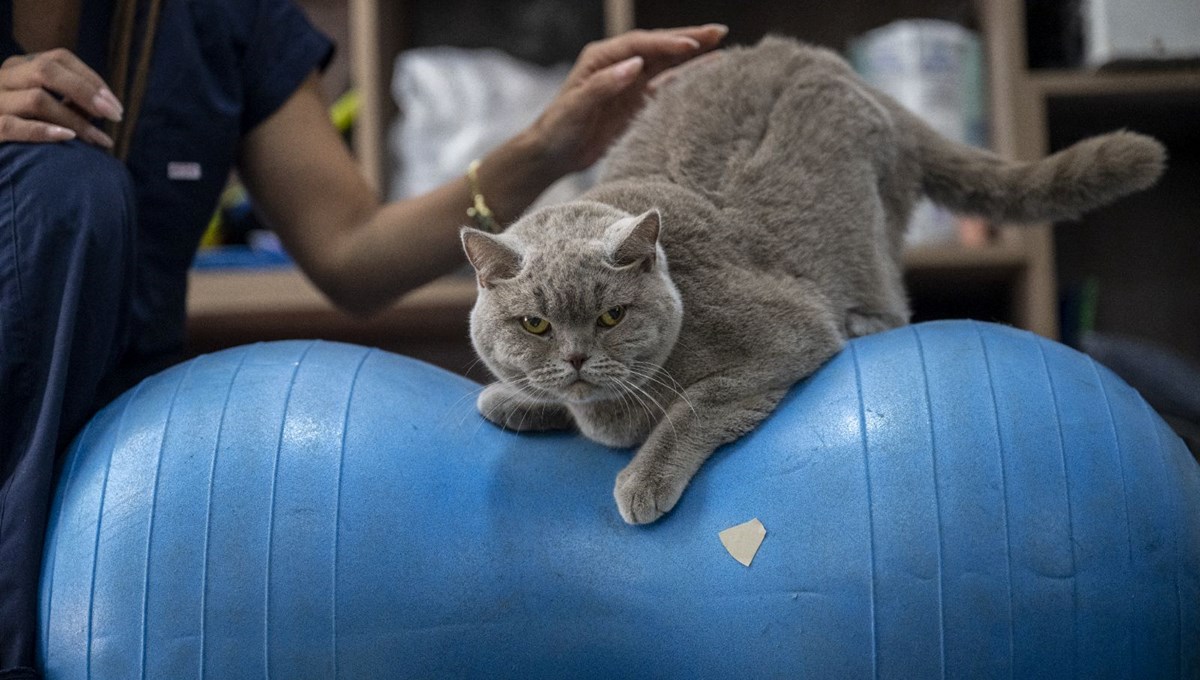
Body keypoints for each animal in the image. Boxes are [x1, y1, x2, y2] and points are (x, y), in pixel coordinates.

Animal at [458, 35, 1161, 527]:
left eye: (611, 317)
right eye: (535, 324)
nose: (578, 359)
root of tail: (838, 65)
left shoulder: (786, 335)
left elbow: (696, 404)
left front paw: (643, 481)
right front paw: (513, 401)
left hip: (872, 231)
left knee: (892, 302)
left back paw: (864, 322)